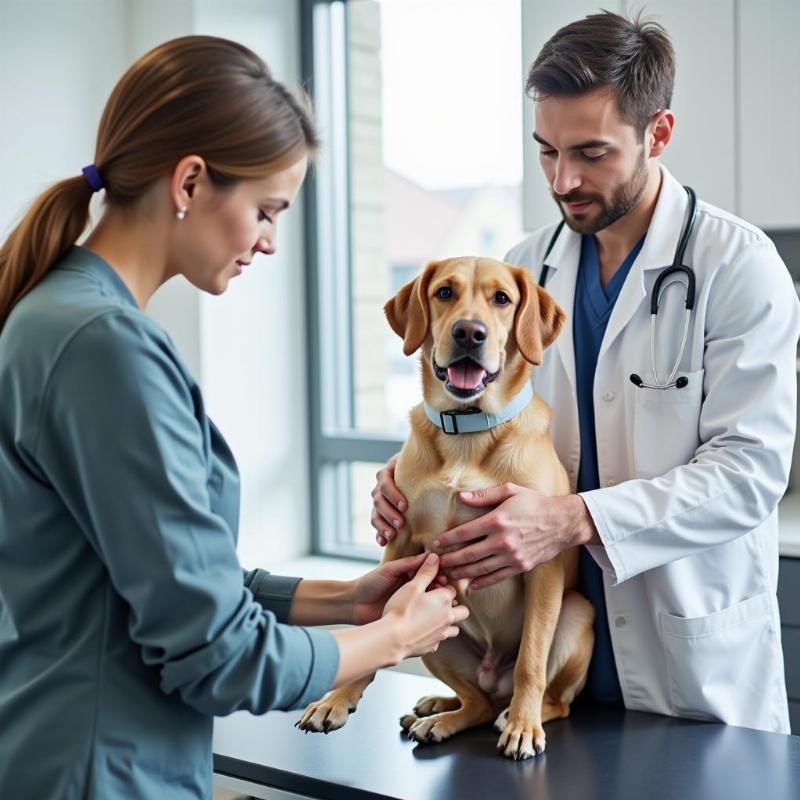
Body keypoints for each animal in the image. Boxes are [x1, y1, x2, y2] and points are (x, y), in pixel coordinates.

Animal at [298, 258, 592, 764]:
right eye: (444, 292)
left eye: (501, 298)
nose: (469, 333)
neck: (468, 434)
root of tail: (492, 675)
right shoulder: (400, 543)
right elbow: (378, 627)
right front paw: (338, 699)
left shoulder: (542, 560)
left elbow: (531, 662)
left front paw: (523, 726)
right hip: (438, 629)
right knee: (475, 700)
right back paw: (441, 713)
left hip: (576, 614)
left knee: (550, 698)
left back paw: (514, 714)